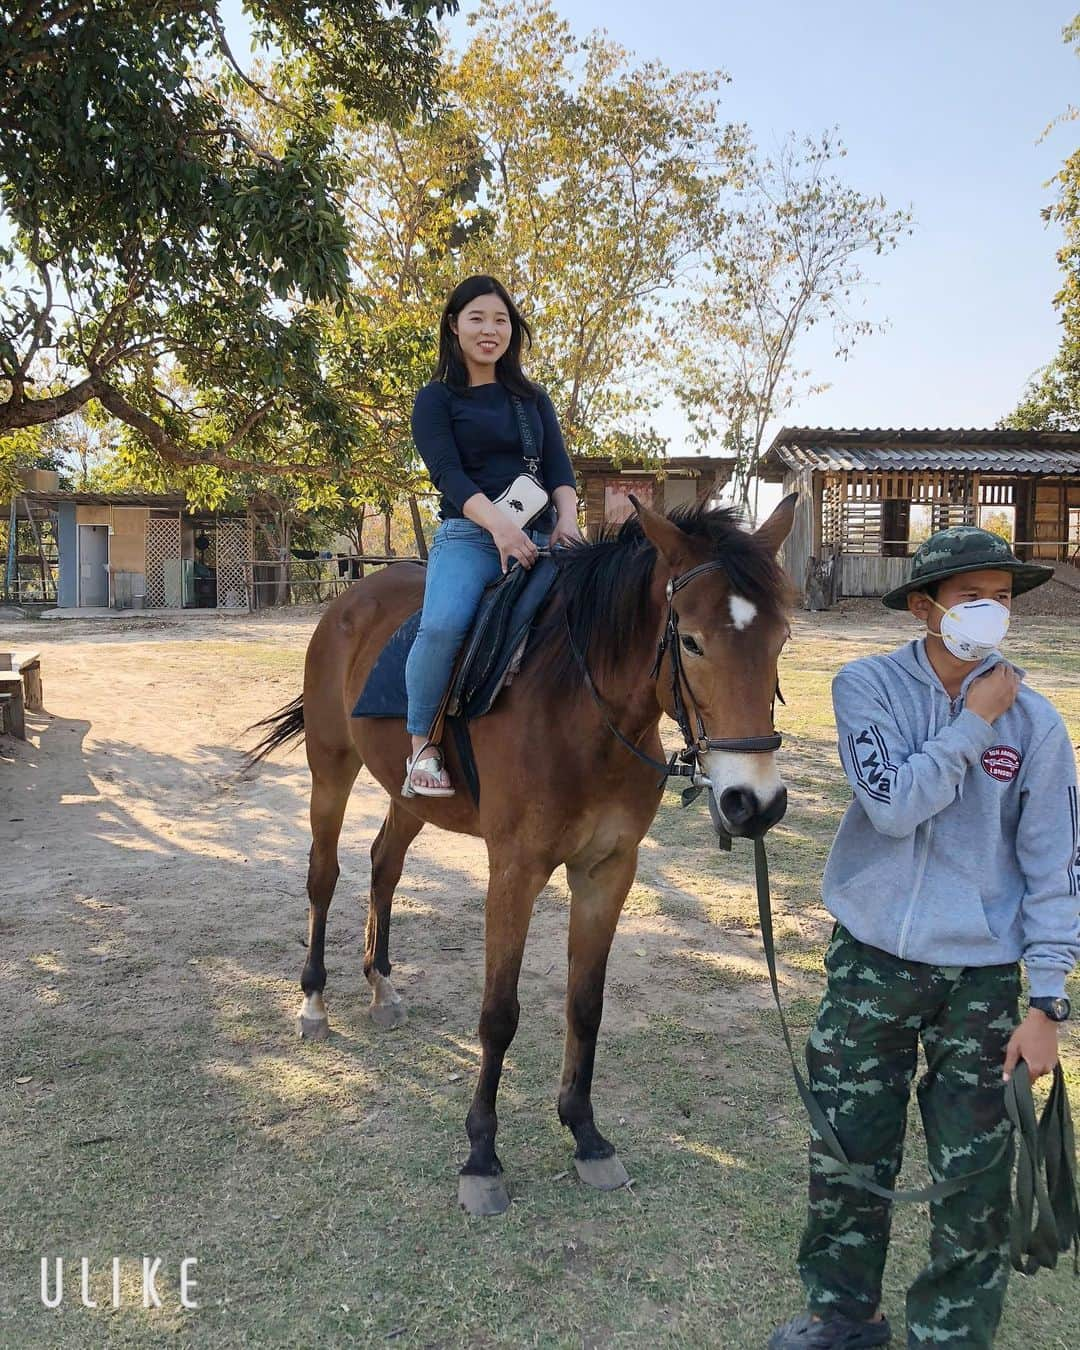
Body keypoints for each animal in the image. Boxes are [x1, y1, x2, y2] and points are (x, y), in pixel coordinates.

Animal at [248, 494, 799, 1215]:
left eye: (780, 641)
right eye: (691, 641)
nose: (753, 802)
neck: (581, 712)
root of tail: (354, 595)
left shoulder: (608, 870)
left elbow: (585, 1004)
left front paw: (586, 1135)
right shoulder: (514, 871)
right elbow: (499, 1014)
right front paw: (482, 1157)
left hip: (407, 795)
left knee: (384, 866)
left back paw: (383, 985)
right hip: (330, 768)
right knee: (324, 874)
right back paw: (314, 1001)